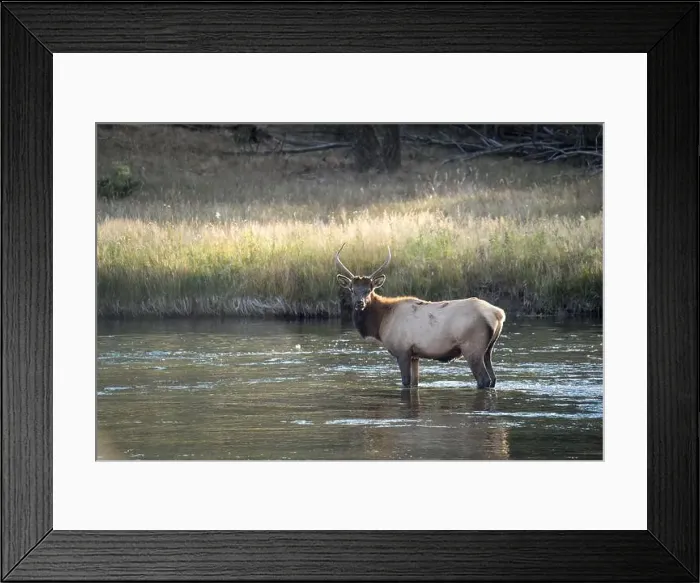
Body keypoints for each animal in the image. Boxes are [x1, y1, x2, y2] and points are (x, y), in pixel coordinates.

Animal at [334, 243, 506, 389]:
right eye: (352, 290)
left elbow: (405, 382)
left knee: (484, 380)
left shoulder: (402, 350)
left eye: (369, 290)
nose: (359, 303)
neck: (382, 323)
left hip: (472, 347)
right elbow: (415, 383)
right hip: (488, 349)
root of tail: (498, 314)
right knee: (493, 378)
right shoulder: (415, 355)